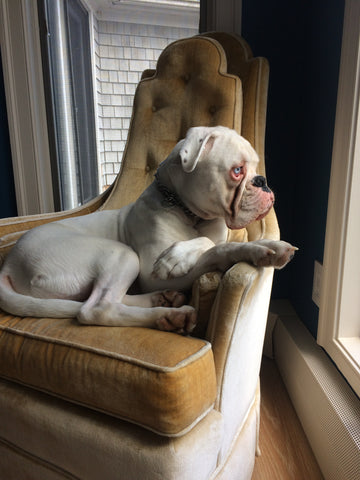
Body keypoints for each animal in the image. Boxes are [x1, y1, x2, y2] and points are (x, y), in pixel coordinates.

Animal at [0, 125, 296, 332]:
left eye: (256, 168)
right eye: (237, 171)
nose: (262, 181)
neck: (187, 211)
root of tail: (9, 264)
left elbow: (221, 244)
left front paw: (266, 247)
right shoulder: (153, 274)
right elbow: (214, 248)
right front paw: (177, 257)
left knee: (103, 300)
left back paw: (164, 301)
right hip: (121, 254)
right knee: (96, 308)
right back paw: (168, 314)